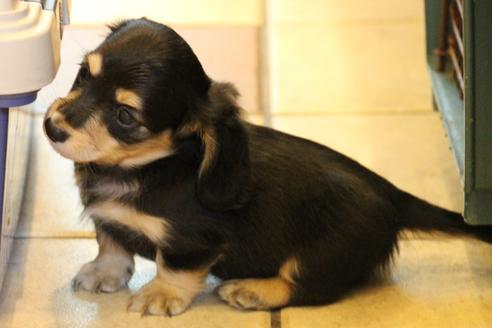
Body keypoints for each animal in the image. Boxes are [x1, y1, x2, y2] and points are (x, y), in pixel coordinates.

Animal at [44, 18, 490, 316]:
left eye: (124, 116)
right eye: (82, 74)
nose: (51, 127)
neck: (146, 167)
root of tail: (393, 197)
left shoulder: (193, 242)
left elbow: (174, 269)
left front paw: (159, 295)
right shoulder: (109, 221)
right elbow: (111, 242)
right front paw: (104, 272)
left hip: (322, 251)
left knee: (313, 288)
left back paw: (254, 291)